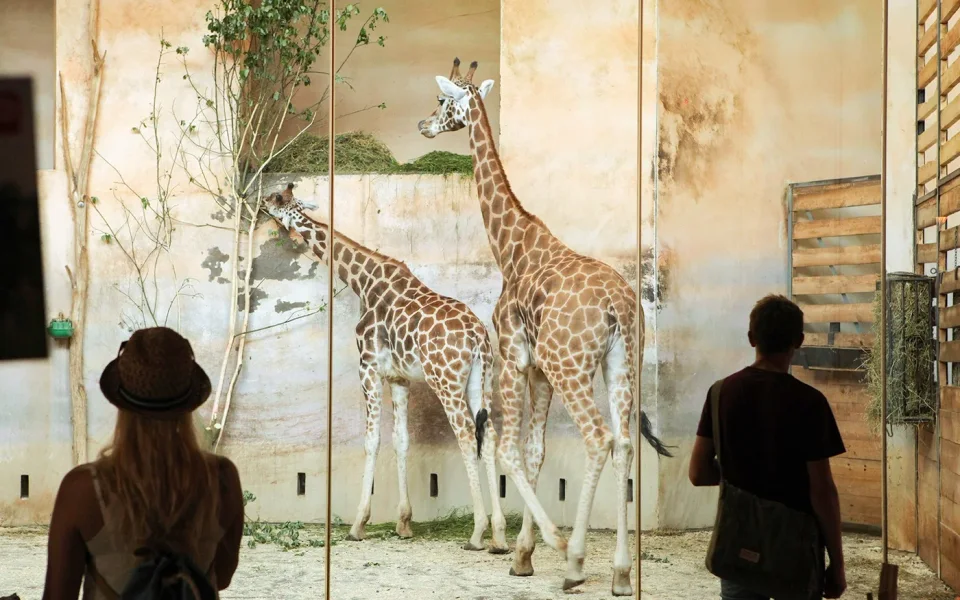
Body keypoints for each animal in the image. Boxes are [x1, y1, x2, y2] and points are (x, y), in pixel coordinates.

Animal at [264, 183, 509, 554]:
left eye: (279, 198)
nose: (261, 202)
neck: (364, 282)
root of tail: (478, 336)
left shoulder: (367, 367)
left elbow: (372, 440)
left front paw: (358, 524)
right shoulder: (399, 378)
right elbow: (401, 440)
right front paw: (404, 523)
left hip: (446, 380)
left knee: (467, 435)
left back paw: (477, 532)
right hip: (482, 379)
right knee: (490, 435)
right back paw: (499, 534)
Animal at [416, 58, 675, 596]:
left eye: (444, 101)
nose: (424, 125)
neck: (511, 246)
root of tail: (619, 307)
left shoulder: (515, 360)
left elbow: (510, 451)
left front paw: (536, 547)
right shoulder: (537, 370)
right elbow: (534, 452)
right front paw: (523, 554)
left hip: (570, 365)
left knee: (598, 438)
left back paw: (575, 561)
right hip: (621, 365)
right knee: (623, 445)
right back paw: (621, 573)